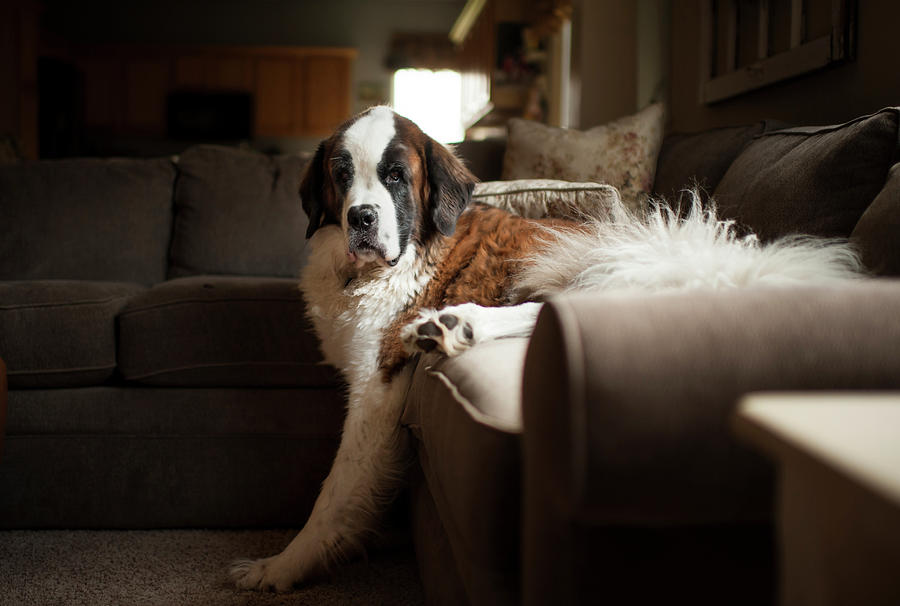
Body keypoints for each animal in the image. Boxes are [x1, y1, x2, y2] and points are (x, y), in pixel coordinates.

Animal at [230, 105, 856, 592]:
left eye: (395, 178)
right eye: (341, 175)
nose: (361, 217)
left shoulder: (377, 385)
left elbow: (336, 490)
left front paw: (283, 566)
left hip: (580, 265)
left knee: (558, 310)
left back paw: (458, 325)